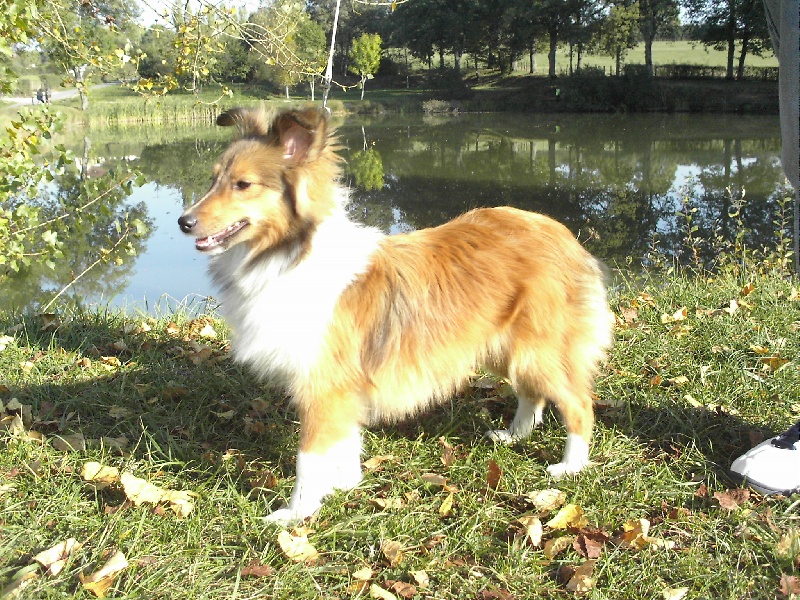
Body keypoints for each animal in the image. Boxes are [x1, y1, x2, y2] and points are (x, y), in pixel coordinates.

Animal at [177, 109, 612, 524]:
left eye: (243, 184)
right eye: (214, 179)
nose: (183, 222)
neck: (290, 254)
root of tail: (561, 233)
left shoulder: (322, 388)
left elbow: (307, 460)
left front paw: (297, 513)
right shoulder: (343, 389)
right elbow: (346, 440)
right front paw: (345, 484)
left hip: (536, 348)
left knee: (578, 403)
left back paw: (570, 466)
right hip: (504, 346)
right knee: (532, 393)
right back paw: (514, 436)